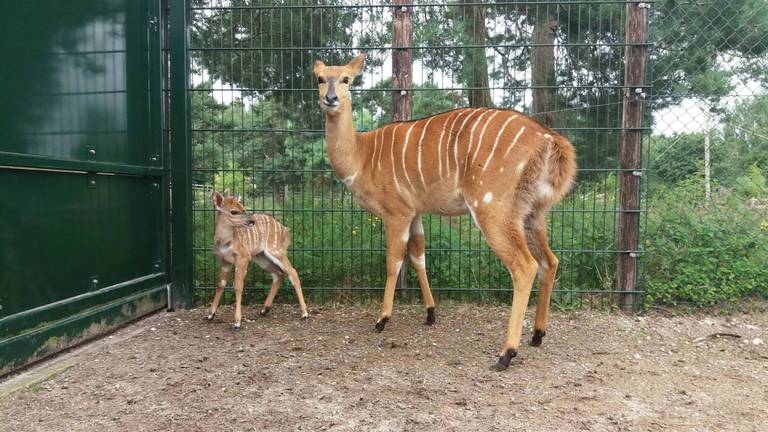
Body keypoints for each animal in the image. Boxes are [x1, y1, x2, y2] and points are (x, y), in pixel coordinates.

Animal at [210, 191, 308, 330]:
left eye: (244, 208)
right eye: (233, 211)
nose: (251, 221)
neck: (225, 243)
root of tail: (285, 230)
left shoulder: (243, 257)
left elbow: (238, 286)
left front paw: (237, 322)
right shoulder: (225, 261)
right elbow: (221, 284)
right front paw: (210, 314)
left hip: (276, 251)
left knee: (292, 272)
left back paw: (304, 313)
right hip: (261, 257)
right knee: (278, 274)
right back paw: (264, 309)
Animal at [314, 53, 576, 372]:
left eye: (346, 79)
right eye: (320, 78)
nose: (330, 99)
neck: (362, 157)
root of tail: (551, 140)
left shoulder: (396, 212)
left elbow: (393, 262)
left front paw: (382, 319)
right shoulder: (416, 213)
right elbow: (418, 256)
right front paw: (430, 313)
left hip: (492, 209)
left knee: (525, 266)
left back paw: (506, 353)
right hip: (533, 214)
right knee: (550, 261)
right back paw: (537, 335)